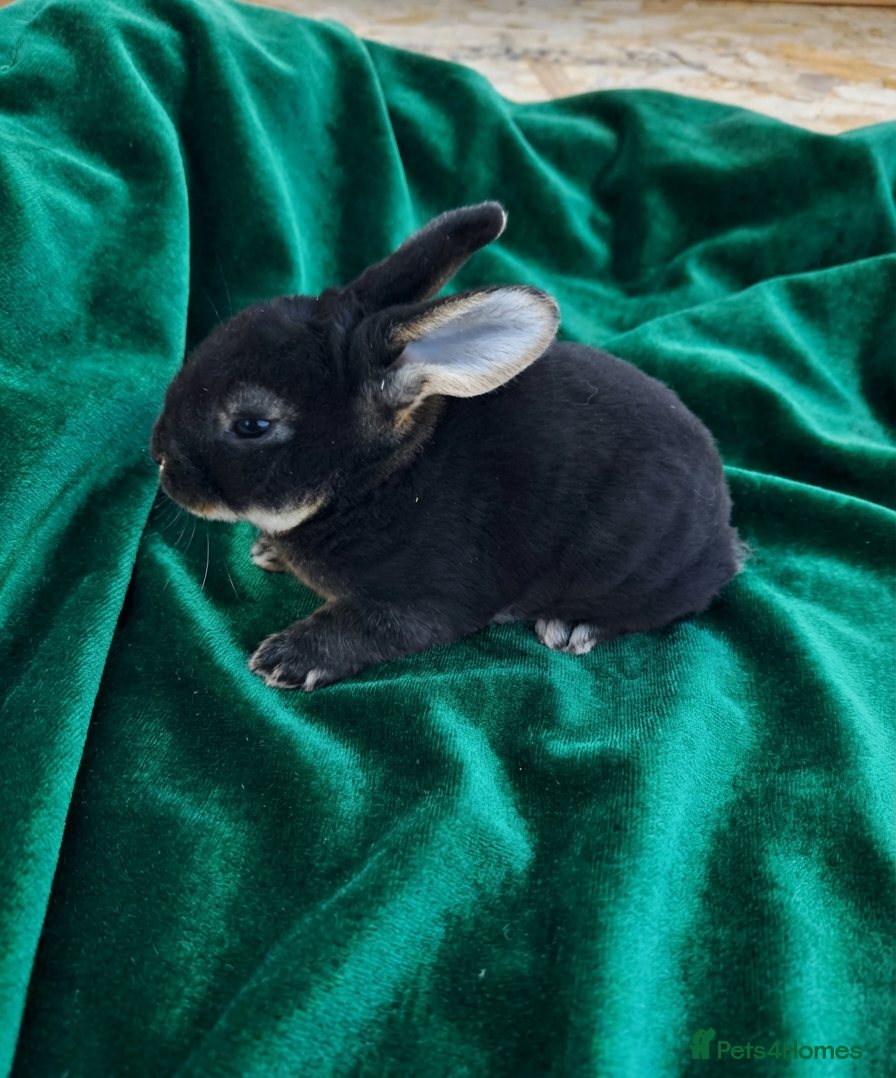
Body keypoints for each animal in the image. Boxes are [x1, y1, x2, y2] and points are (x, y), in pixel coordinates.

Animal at [150, 202, 744, 690]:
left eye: (251, 425)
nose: (159, 458)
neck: (378, 478)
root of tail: (725, 527)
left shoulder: (424, 602)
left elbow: (365, 627)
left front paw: (286, 659)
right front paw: (268, 552)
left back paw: (574, 623)